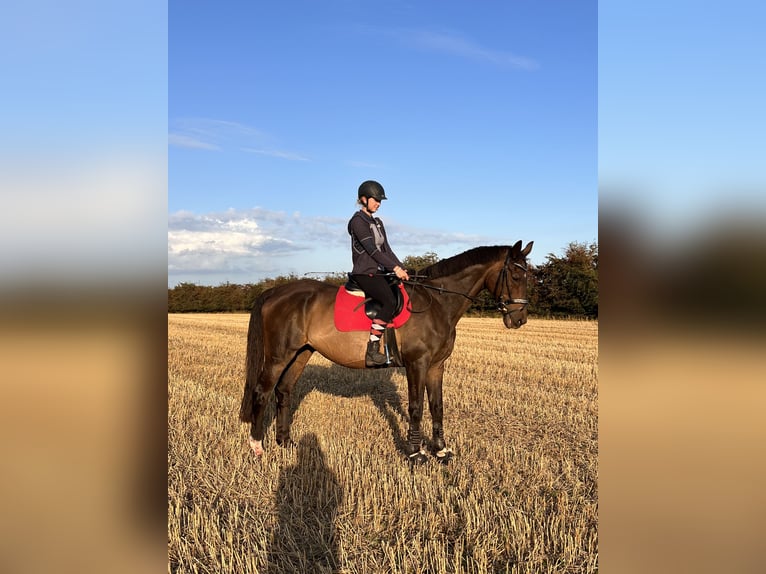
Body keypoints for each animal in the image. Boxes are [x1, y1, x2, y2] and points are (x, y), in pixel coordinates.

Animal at [240, 241, 536, 466]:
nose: (519, 319)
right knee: (262, 392)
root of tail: (275, 292)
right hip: (278, 356)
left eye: (529, 277)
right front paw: (416, 453)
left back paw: (285, 442)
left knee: (283, 391)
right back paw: (257, 446)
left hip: (302, 352)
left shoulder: (437, 366)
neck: (437, 303)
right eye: (515, 276)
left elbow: (437, 406)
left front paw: (441, 450)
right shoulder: (418, 364)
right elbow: (416, 407)